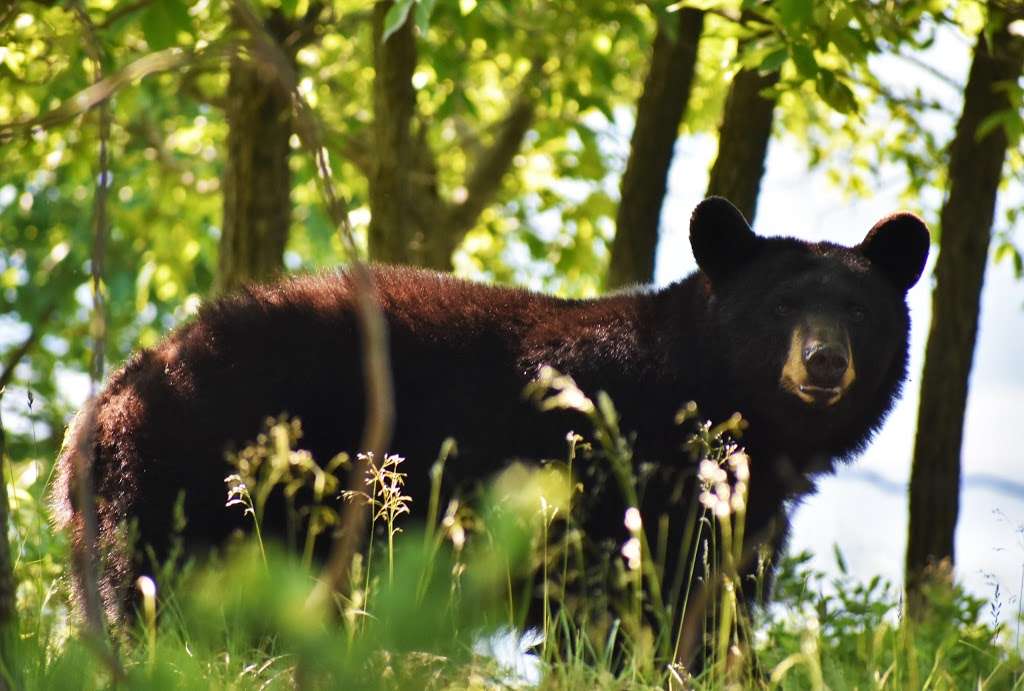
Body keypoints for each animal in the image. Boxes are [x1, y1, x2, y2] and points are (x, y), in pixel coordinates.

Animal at [49, 194, 929, 638]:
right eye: (781, 306)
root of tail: (107, 402)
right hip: (206, 490)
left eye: (857, 309)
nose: (824, 360)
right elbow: (628, 612)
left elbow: (709, 609)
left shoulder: (738, 518)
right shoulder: (623, 490)